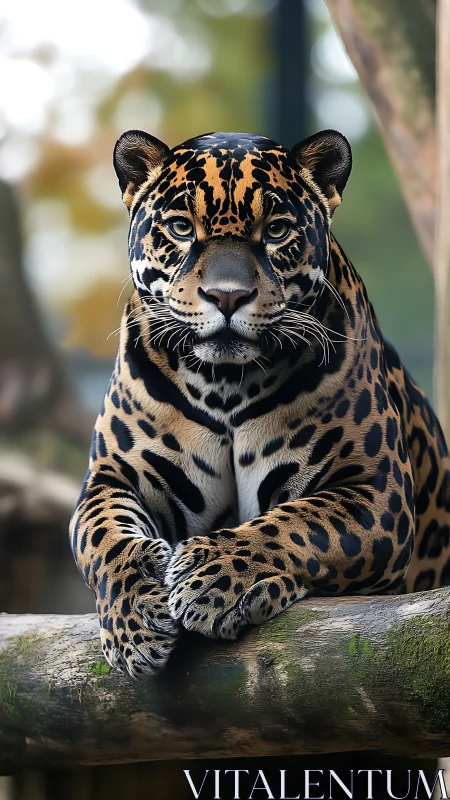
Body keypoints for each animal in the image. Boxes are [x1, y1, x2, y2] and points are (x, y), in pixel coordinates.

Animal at [69, 128, 450, 679]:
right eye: (181, 227)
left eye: (275, 231)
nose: (227, 296)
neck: (224, 383)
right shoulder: (115, 476)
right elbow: (104, 538)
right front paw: (134, 620)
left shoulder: (376, 490)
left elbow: (299, 523)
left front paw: (212, 575)